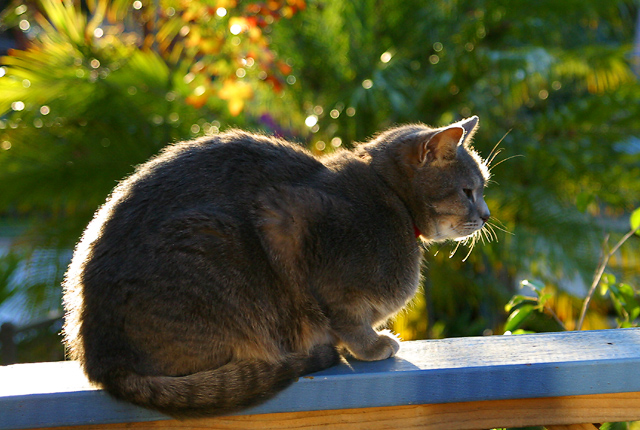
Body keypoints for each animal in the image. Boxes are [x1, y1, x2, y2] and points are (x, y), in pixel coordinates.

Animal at [61, 114, 490, 416]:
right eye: (468, 191)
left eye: (482, 189)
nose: (486, 215)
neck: (391, 199)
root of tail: (100, 361)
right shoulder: (290, 224)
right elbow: (348, 318)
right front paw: (371, 345)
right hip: (212, 245)